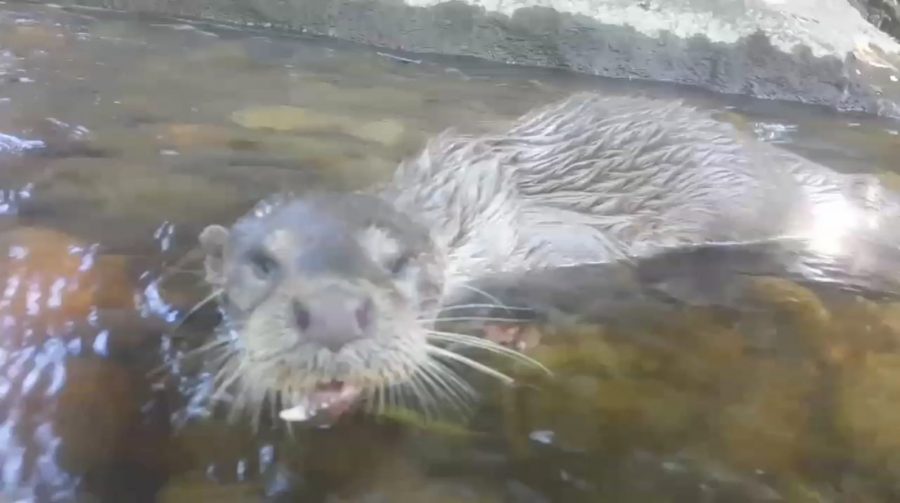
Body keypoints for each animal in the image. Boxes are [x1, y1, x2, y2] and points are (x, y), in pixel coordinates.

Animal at [195, 91, 900, 426]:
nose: (333, 314)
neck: (473, 217)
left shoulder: (561, 247)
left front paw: (514, 335)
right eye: (261, 263)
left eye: (397, 261)